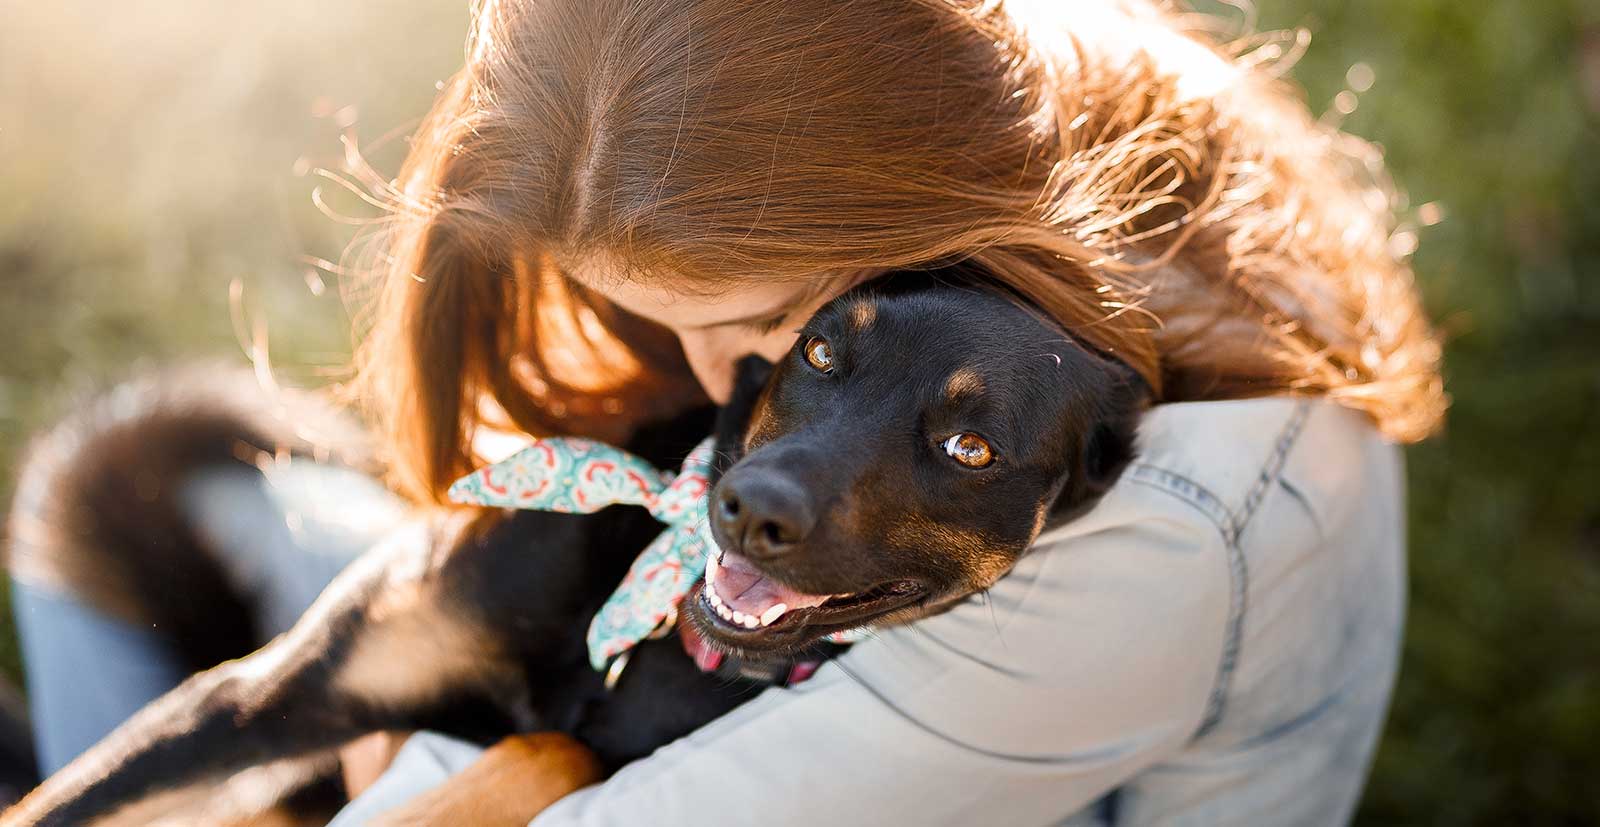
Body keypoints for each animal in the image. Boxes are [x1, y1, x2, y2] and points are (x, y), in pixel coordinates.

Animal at [0, 267, 1152, 819]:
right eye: (822, 350)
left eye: (970, 446)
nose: (747, 508)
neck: (647, 620)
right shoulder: (261, 697)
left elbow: (553, 747)